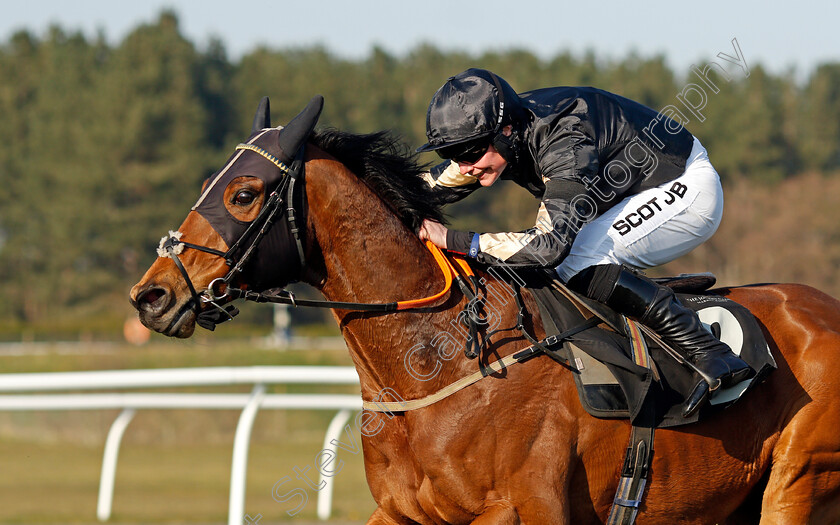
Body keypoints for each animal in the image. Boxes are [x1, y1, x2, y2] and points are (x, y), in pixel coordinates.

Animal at [128, 96, 840, 520]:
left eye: (244, 194)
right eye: (210, 184)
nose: (151, 295)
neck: (434, 362)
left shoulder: (517, 506)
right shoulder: (401, 509)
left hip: (797, 481)